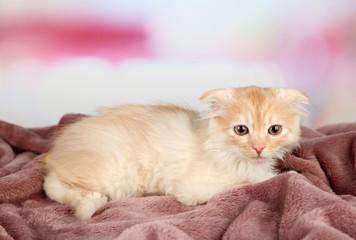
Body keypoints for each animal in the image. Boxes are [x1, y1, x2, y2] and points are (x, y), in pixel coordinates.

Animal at [43, 86, 308, 219]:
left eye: (274, 130)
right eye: (241, 130)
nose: (259, 148)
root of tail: (56, 152)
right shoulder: (195, 188)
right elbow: (249, 183)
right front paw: (288, 175)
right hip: (112, 175)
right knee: (51, 185)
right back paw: (90, 200)